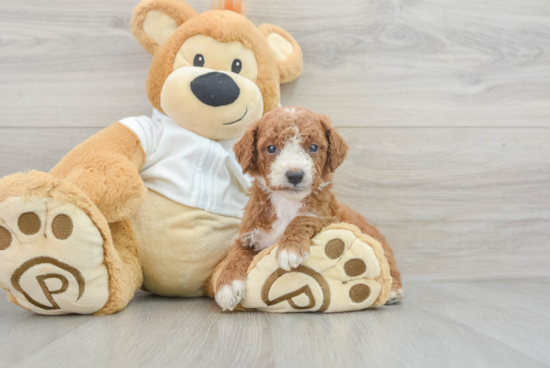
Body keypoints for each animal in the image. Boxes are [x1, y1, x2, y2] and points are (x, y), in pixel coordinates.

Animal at [215, 106, 402, 310]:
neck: (286, 203)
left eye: (313, 147)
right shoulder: (249, 235)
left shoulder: (330, 218)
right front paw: (226, 286)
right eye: (271, 148)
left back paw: (393, 292)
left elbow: (304, 218)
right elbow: (235, 255)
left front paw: (290, 249)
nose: (295, 175)